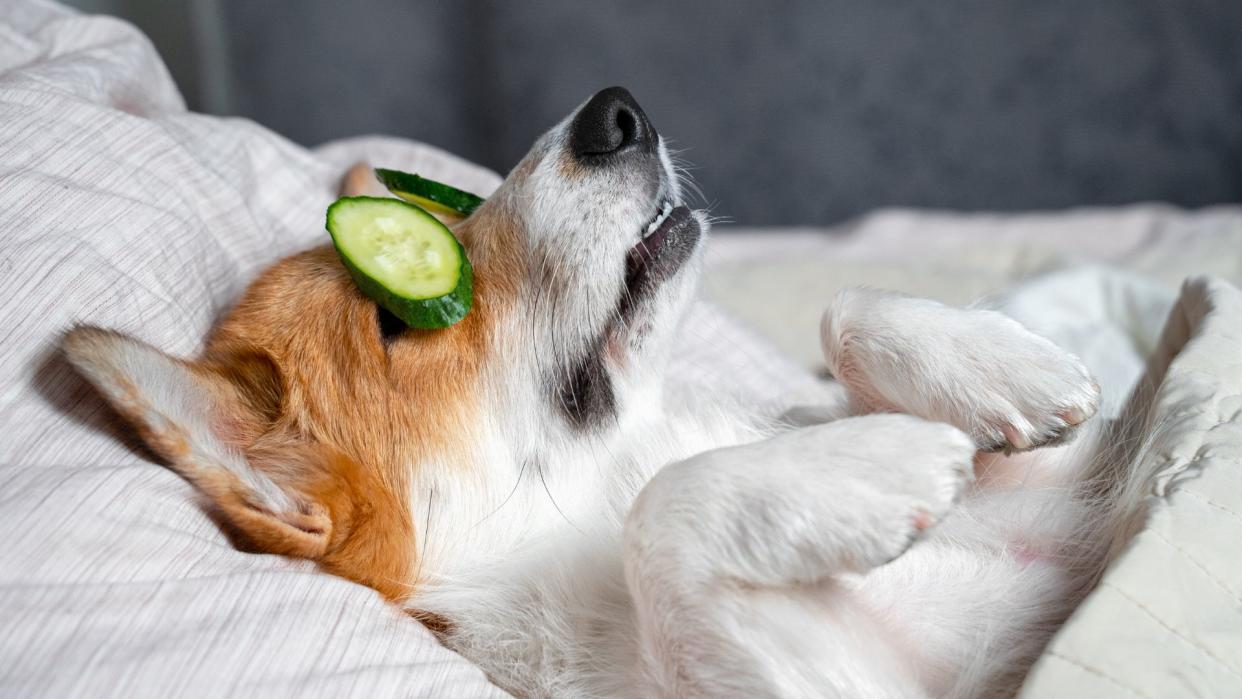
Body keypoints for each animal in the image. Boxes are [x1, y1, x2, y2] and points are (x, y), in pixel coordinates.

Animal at [65, 88, 1142, 699]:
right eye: (399, 316)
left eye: (446, 207)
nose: (616, 110)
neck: (611, 472)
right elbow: (665, 514)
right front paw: (880, 460)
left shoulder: (1067, 514)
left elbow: (843, 313)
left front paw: (1007, 370)